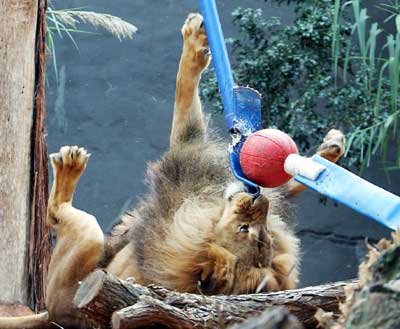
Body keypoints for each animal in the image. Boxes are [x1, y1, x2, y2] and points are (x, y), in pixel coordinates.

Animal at [0, 12, 344, 328]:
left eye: (250, 231)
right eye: (260, 235)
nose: (260, 202)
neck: (207, 217)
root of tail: (52, 314)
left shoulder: (183, 165)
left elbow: (184, 94)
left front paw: (193, 42)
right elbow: (274, 180)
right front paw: (327, 151)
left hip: (86, 245)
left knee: (55, 214)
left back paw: (69, 164)